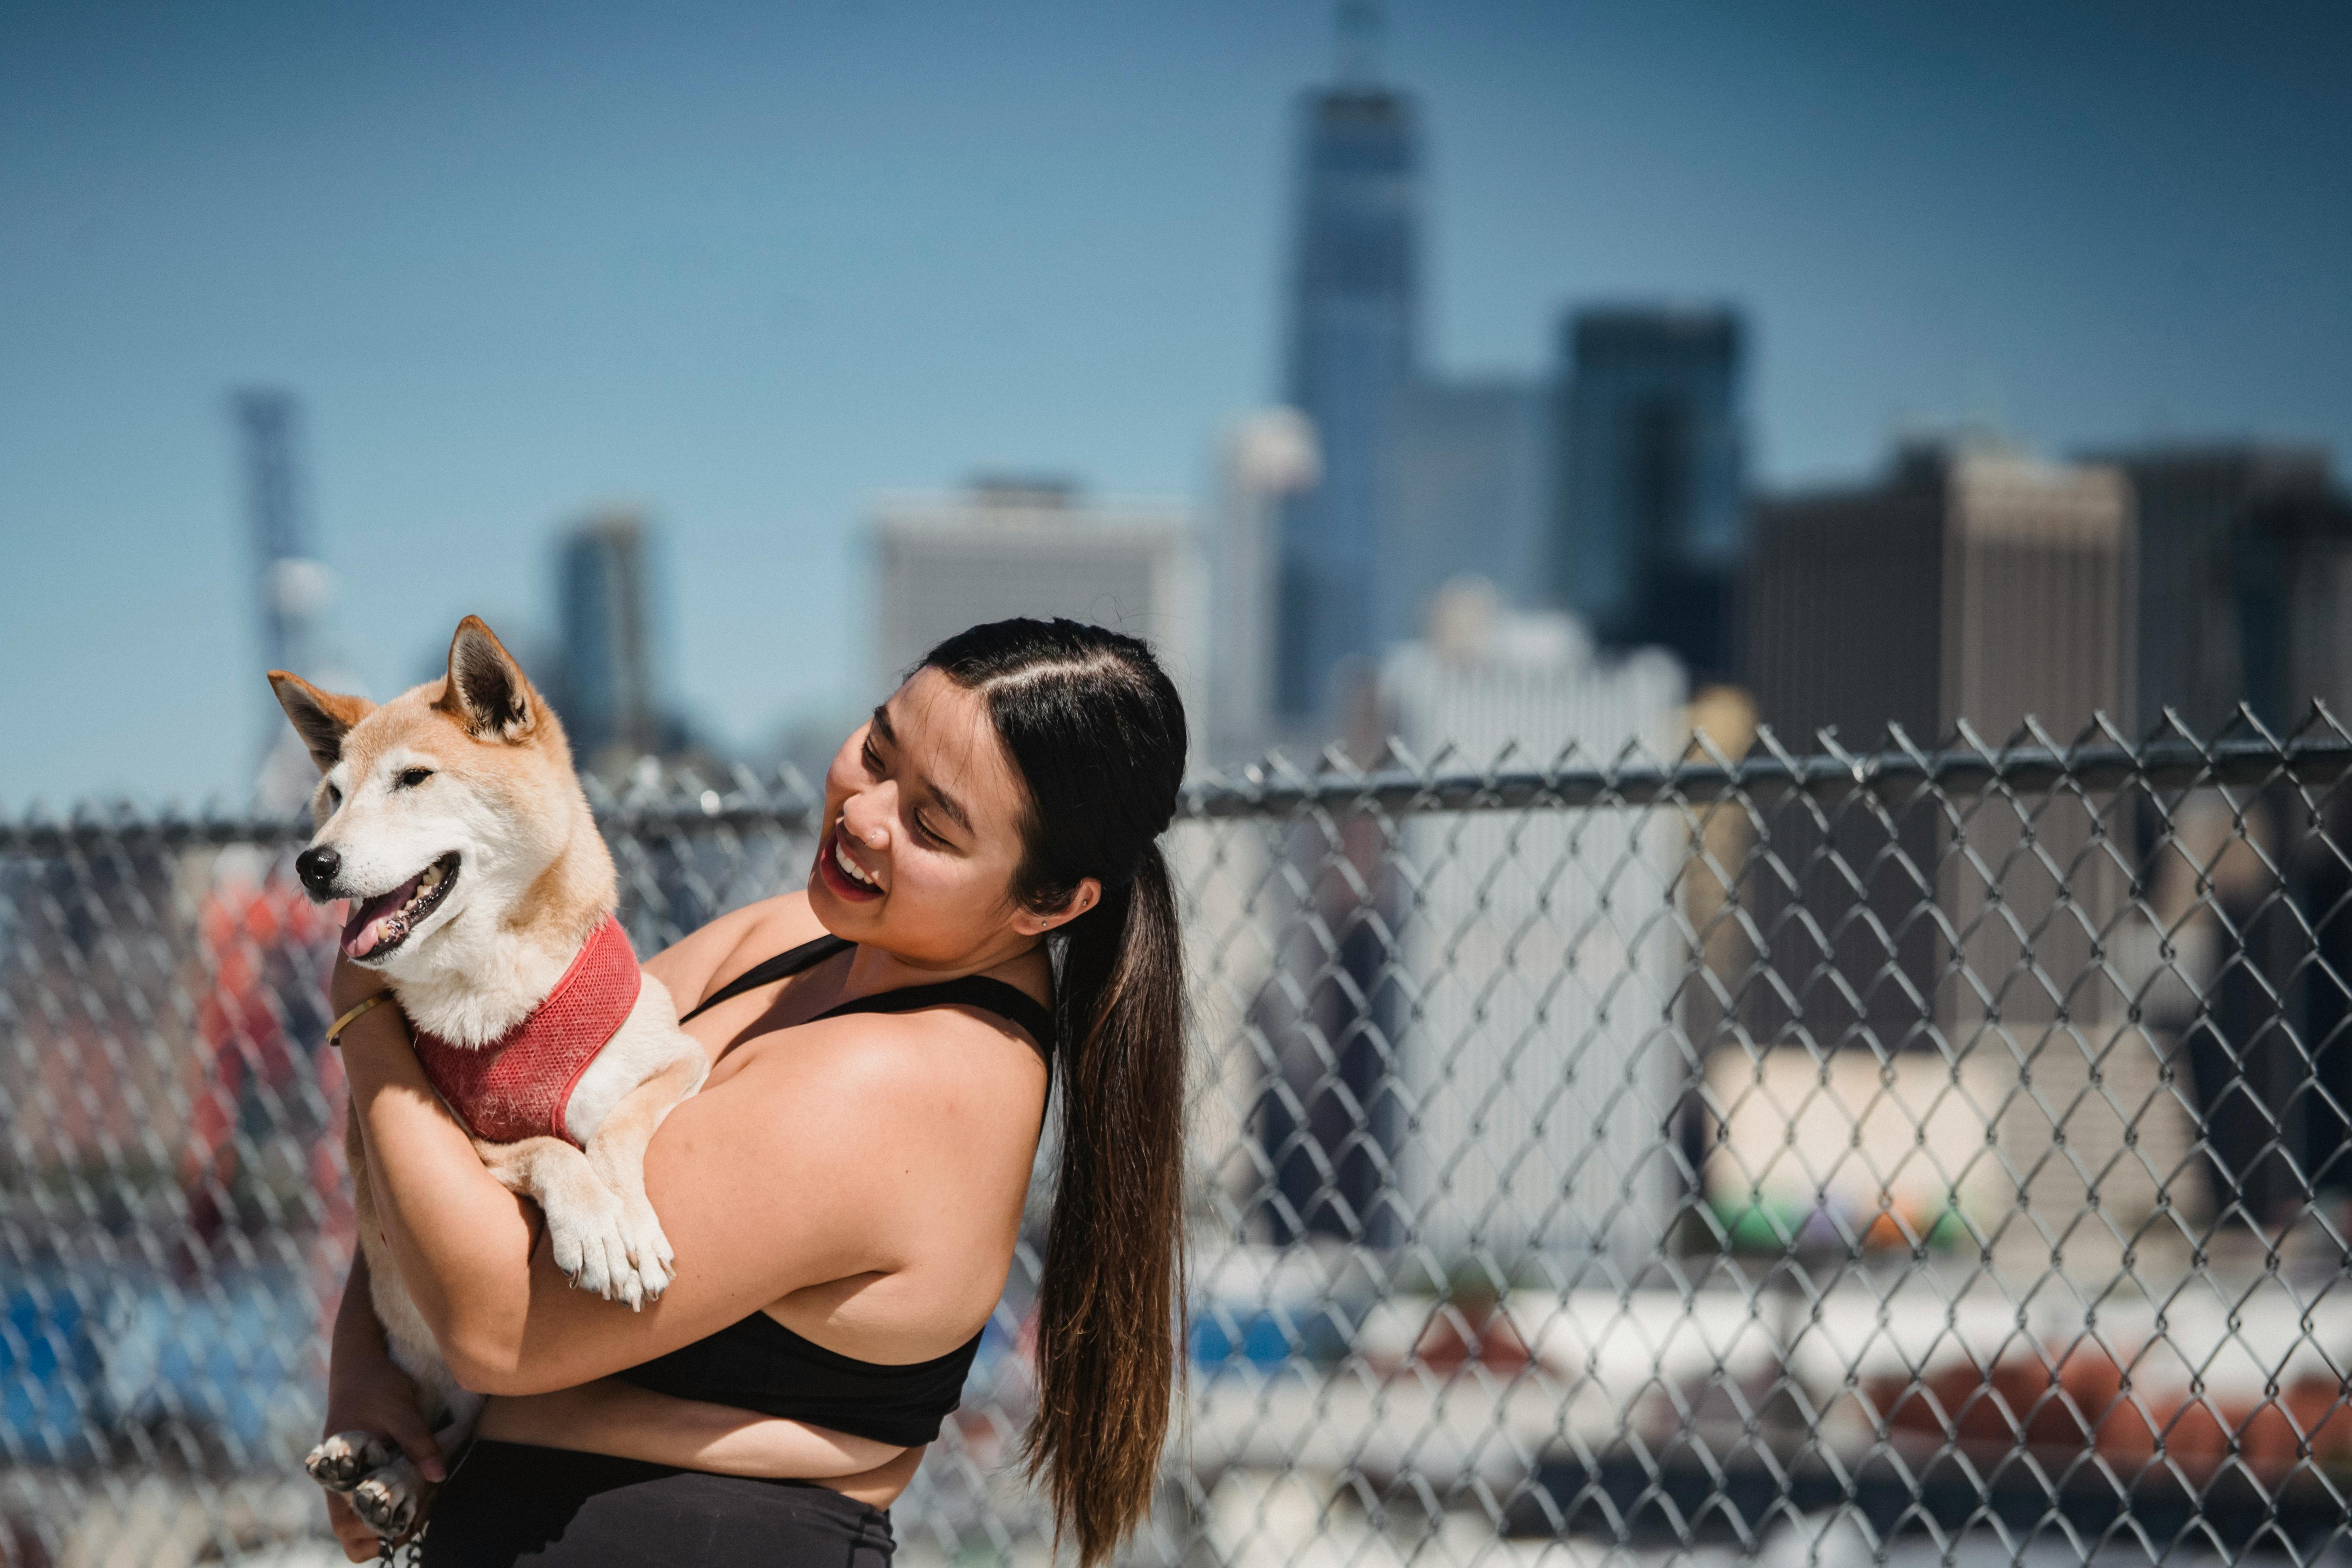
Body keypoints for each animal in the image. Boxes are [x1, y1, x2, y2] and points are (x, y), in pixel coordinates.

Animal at [275, 616, 705, 1542]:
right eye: (334, 793)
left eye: (412, 778)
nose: (312, 864)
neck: (494, 989)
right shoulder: (458, 1142)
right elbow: (548, 1147)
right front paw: (596, 1226)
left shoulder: (682, 1057)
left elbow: (616, 1124)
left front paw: (625, 1218)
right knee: (449, 1430)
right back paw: (372, 1460)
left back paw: (386, 1477)